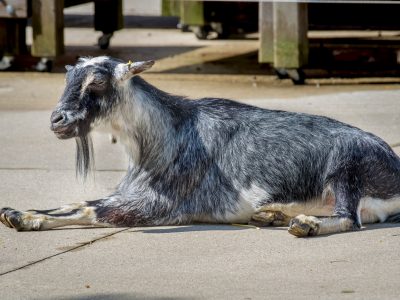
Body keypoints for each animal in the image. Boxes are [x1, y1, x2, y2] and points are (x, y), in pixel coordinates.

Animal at [0, 55, 400, 236]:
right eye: (68, 78)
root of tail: (395, 169)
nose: (57, 120)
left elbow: (89, 209)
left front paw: (23, 217)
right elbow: (77, 200)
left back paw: (305, 224)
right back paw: (270, 214)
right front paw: (15, 212)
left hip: (346, 167)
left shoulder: (154, 207)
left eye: (97, 82)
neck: (163, 136)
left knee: (350, 217)